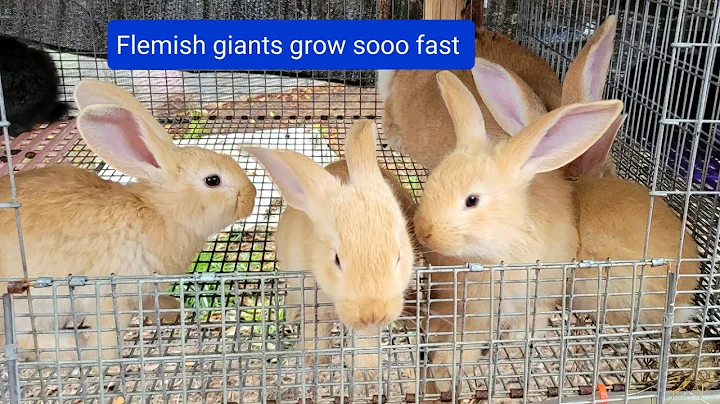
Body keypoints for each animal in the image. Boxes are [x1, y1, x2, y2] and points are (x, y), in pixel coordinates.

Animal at [0, 80, 257, 362]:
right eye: (212, 180)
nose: (252, 196)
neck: (159, 212)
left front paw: (173, 309)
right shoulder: (111, 293)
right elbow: (110, 333)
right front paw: (98, 358)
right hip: (27, 307)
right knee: (22, 340)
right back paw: (69, 345)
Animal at [244, 119, 419, 384]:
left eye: (398, 256)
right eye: (336, 259)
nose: (373, 313)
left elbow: (365, 338)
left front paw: (366, 375)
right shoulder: (311, 299)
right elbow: (315, 328)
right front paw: (313, 360)